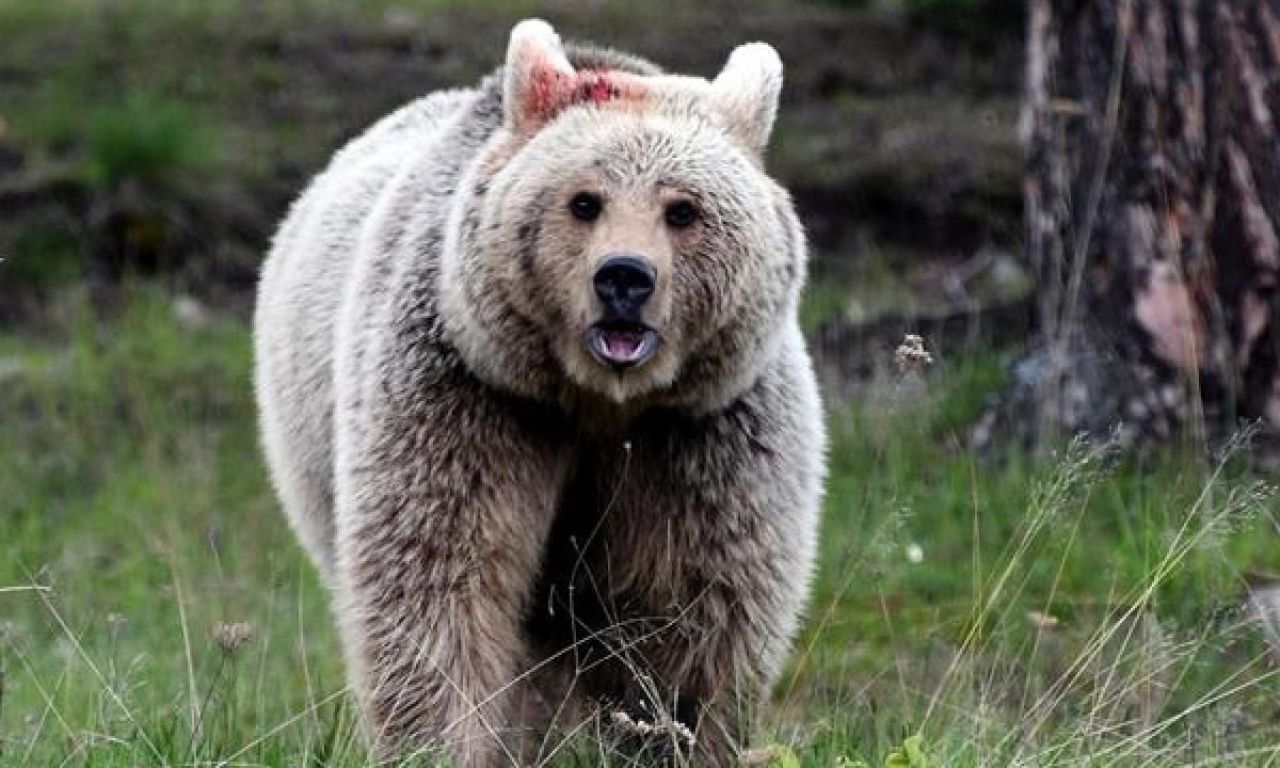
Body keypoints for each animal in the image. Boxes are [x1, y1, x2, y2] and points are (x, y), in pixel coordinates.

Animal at [254, 18, 824, 768]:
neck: (599, 400)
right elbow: (442, 581)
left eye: (682, 209)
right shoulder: (471, 398)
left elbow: (693, 607)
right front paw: (443, 742)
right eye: (585, 201)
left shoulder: (700, 433)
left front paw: (671, 731)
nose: (624, 278)